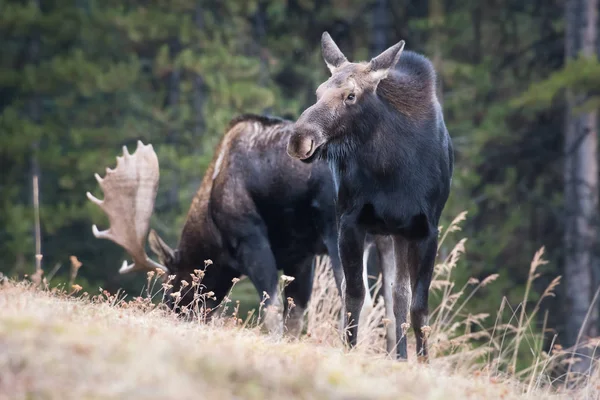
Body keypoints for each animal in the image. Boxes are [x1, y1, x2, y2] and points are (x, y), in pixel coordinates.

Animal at [86, 114, 378, 336]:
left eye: (175, 285)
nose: (172, 312)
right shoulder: (302, 256)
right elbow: (294, 313)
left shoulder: (249, 238)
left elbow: (271, 306)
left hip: (337, 230)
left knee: (354, 296)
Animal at [288, 32, 454, 360]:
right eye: (318, 91)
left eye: (351, 95)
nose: (300, 138)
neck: (392, 168)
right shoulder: (350, 223)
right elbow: (355, 296)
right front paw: (349, 349)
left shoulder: (425, 229)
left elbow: (417, 307)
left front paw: (423, 361)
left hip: (395, 235)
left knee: (398, 295)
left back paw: (400, 354)